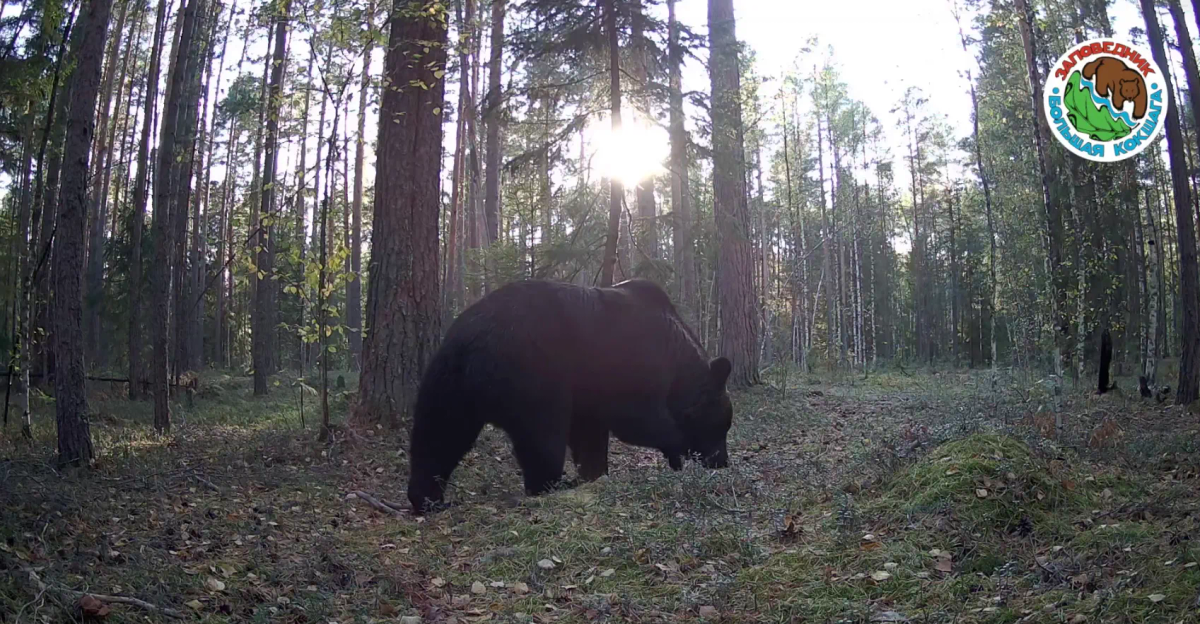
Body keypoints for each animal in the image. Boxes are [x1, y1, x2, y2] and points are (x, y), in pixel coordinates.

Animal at [408, 280, 734, 513]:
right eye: (722, 426)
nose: (722, 461)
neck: (676, 359)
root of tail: (473, 346)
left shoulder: (590, 395)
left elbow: (589, 436)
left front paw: (594, 473)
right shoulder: (629, 366)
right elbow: (637, 420)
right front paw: (678, 450)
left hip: (447, 382)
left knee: (438, 436)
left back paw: (428, 498)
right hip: (532, 374)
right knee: (542, 437)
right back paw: (550, 484)